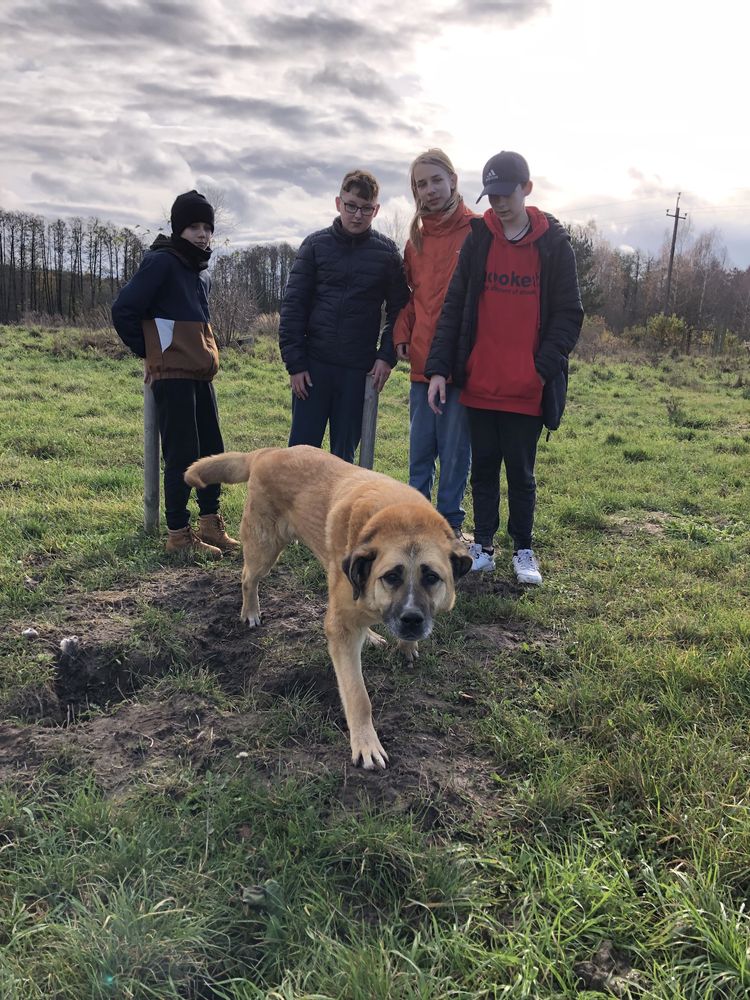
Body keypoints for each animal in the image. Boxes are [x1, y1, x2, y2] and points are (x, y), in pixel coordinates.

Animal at [185, 450, 472, 768]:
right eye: (391, 576)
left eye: (431, 577)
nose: (412, 620)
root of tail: (267, 452)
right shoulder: (342, 628)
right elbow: (358, 696)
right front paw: (366, 744)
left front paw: (404, 645)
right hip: (265, 548)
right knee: (248, 578)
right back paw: (250, 612)